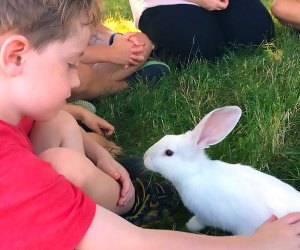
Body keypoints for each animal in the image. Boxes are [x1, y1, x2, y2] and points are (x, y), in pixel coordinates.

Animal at [142, 106, 300, 235]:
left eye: (169, 152)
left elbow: (199, 222)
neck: (194, 174)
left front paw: (189, 226)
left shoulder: (204, 215)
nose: (145, 157)